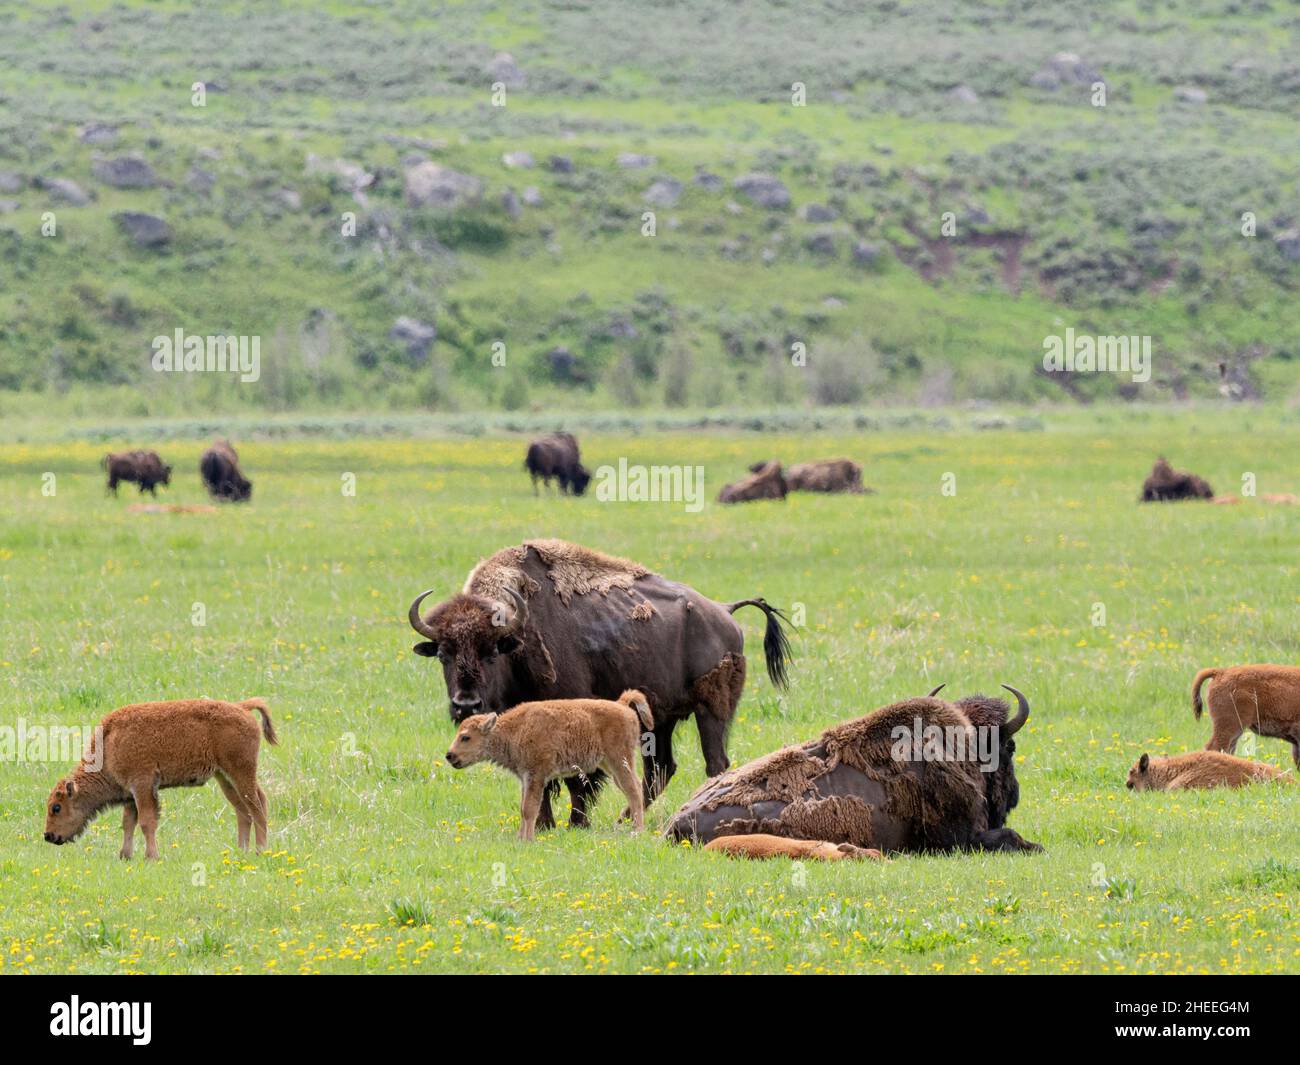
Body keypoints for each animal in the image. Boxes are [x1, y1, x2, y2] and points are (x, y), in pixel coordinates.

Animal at [407, 538, 792, 829]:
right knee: (660, 769)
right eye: (443, 654)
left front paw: (576, 823)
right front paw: (546, 825)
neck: (518, 638)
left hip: (711, 710)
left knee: (715, 762)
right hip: (660, 719)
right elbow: (540, 779)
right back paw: (624, 819)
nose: (465, 705)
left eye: (491, 653)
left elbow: (577, 778)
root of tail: (724, 612)